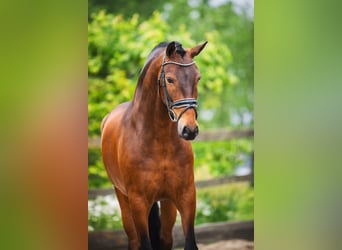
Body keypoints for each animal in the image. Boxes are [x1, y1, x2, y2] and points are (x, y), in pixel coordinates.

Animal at [101, 41, 207, 250]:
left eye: (198, 78)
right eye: (170, 79)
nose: (189, 130)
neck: (159, 141)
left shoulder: (186, 196)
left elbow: (189, 242)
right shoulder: (138, 202)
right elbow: (144, 243)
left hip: (167, 203)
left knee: (165, 238)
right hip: (122, 197)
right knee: (134, 240)